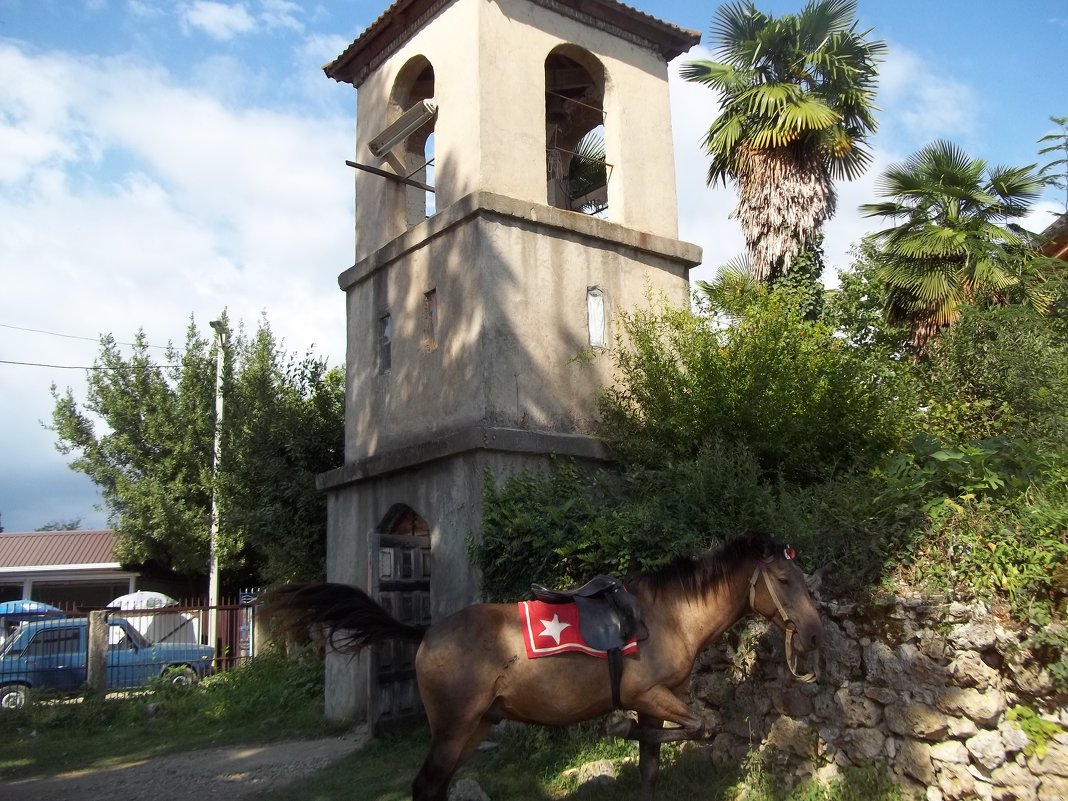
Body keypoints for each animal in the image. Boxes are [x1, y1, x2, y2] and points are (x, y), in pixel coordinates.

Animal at [267, 534, 824, 801]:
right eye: (783, 579)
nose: (815, 632)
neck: (666, 615)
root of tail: (425, 633)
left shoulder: (656, 706)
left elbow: (651, 767)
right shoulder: (648, 697)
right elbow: (702, 726)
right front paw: (616, 726)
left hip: (474, 727)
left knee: (438, 786)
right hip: (452, 729)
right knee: (425, 786)